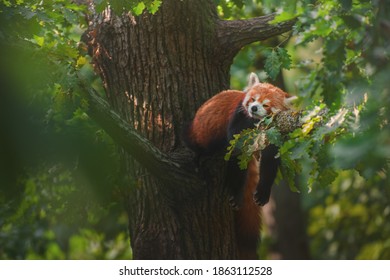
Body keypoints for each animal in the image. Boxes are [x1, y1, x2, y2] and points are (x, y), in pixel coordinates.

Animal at [184, 71, 294, 258]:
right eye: (253, 99)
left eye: (266, 104)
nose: (254, 108)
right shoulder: (237, 117)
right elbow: (235, 136)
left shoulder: (274, 136)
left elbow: (269, 164)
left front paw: (263, 192)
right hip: (198, 134)